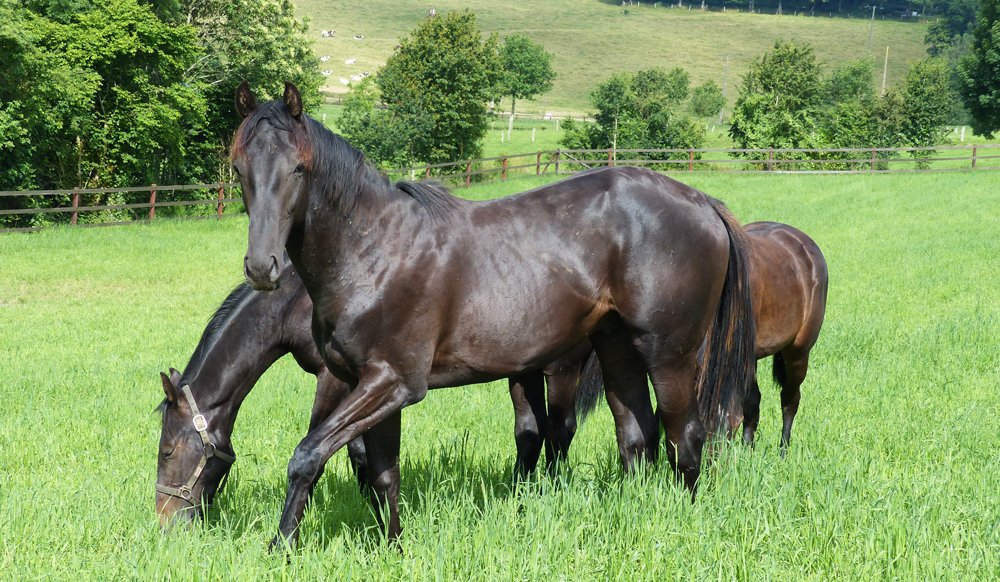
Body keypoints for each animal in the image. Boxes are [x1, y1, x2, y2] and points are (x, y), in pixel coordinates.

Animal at [232, 82, 755, 546]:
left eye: (298, 168)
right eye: (239, 168)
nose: (261, 266)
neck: (375, 252)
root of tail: (703, 203)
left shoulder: (393, 382)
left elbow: (307, 456)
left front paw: (281, 547)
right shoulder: (367, 384)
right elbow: (383, 476)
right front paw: (392, 548)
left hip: (669, 354)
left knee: (685, 437)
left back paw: (682, 520)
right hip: (616, 348)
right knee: (636, 436)